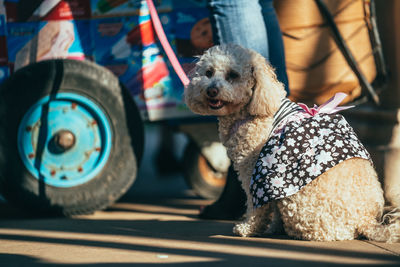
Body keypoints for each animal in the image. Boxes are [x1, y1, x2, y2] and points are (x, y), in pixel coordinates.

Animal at [185, 44, 400, 243]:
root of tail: (366, 221)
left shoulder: (253, 172)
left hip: (297, 200)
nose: (211, 90)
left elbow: (257, 207)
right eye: (208, 73)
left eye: (233, 75)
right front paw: (274, 228)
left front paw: (248, 228)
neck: (254, 110)